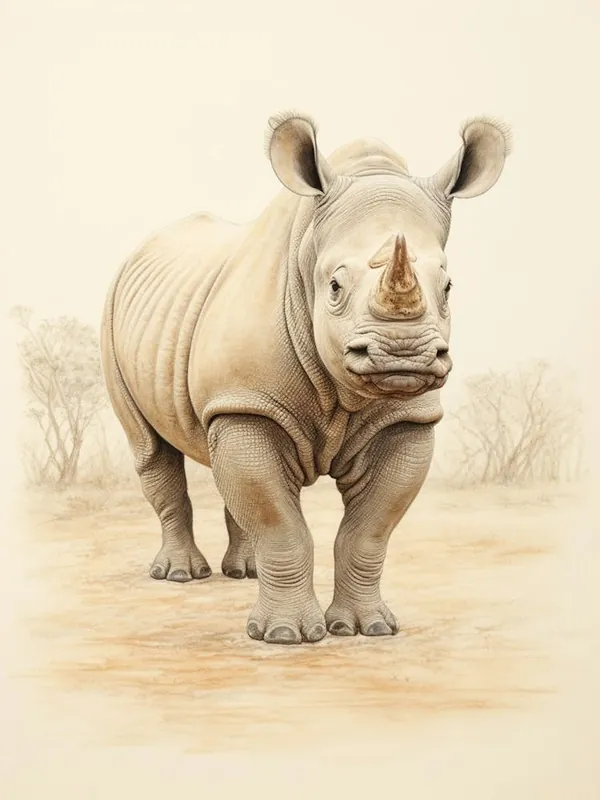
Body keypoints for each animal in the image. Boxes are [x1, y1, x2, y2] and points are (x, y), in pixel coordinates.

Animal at [100, 110, 511, 645]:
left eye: (447, 286)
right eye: (334, 286)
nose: (403, 354)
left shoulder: (406, 419)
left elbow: (368, 530)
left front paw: (370, 628)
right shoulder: (248, 400)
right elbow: (280, 523)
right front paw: (284, 636)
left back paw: (245, 573)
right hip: (113, 314)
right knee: (151, 449)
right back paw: (179, 575)